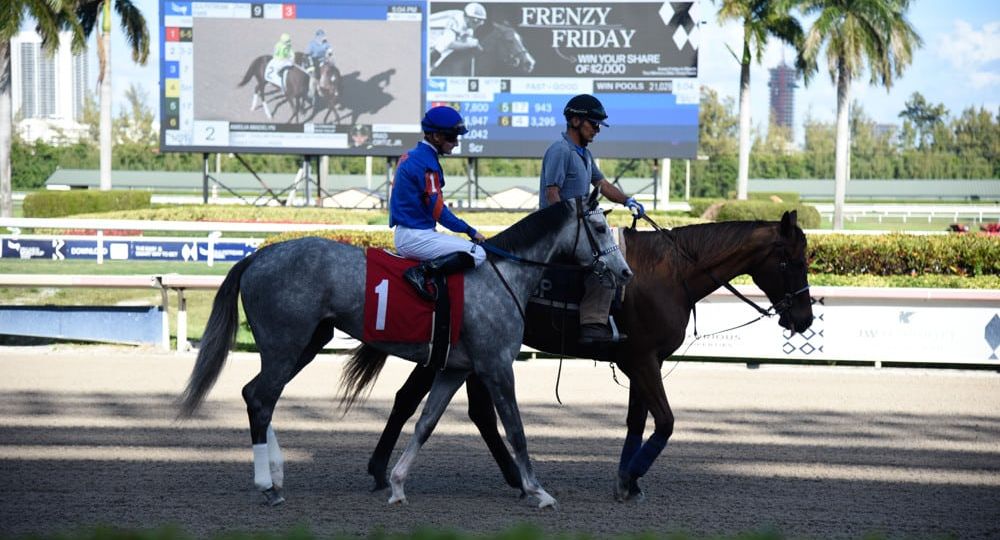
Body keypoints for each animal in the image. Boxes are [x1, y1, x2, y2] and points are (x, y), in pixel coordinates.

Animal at [178, 195, 632, 510]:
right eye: (598, 227)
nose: (624, 272)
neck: (501, 275)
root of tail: (257, 256)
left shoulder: (454, 369)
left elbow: (425, 423)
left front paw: (396, 484)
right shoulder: (497, 366)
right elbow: (516, 430)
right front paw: (538, 491)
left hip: (304, 344)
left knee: (258, 396)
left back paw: (277, 474)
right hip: (285, 345)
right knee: (260, 398)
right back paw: (267, 486)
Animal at [368, 211, 812, 502]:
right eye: (791, 260)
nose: (805, 319)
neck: (669, 273)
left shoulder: (644, 361)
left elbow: (638, 421)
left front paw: (628, 480)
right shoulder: (643, 360)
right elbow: (666, 422)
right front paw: (631, 476)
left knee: (455, 408)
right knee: (425, 402)